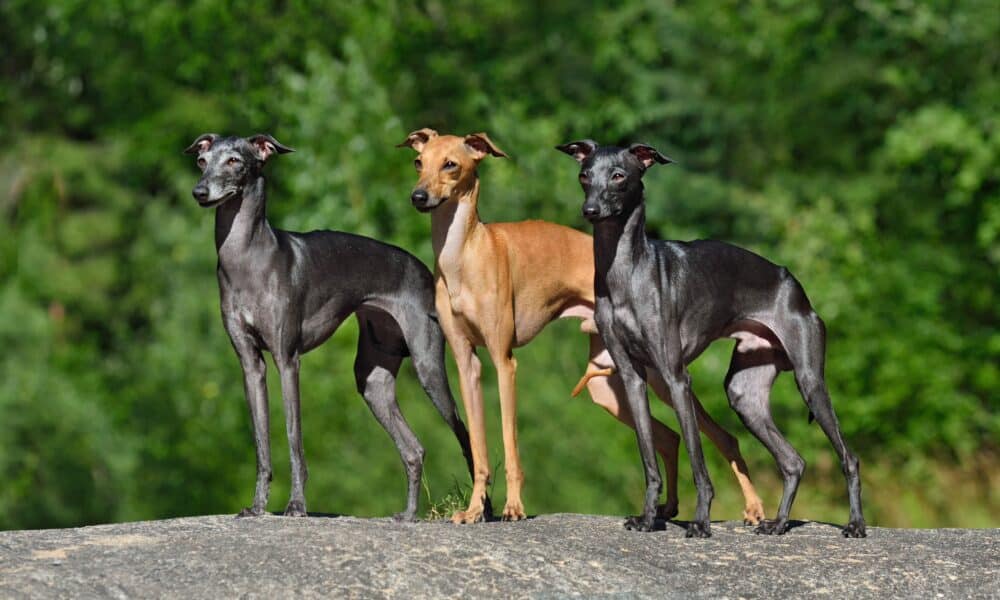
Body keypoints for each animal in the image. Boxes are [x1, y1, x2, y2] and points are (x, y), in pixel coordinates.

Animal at [187, 134, 476, 516]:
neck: (248, 258)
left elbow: (294, 437)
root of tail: (425, 270)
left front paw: (296, 504)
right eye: (202, 161)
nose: (200, 192)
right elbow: (261, 442)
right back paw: (408, 515)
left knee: (465, 434)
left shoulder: (288, 360)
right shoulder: (251, 364)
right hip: (372, 380)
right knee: (414, 449)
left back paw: (484, 510)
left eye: (235, 160)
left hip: (428, 366)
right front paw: (257, 506)